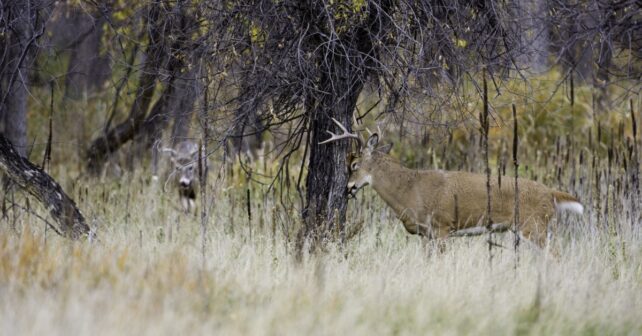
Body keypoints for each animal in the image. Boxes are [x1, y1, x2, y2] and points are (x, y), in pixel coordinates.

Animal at [318, 119, 584, 247]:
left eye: (354, 165)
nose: (348, 188)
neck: (409, 190)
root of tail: (551, 194)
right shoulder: (426, 235)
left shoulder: (442, 227)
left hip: (534, 226)